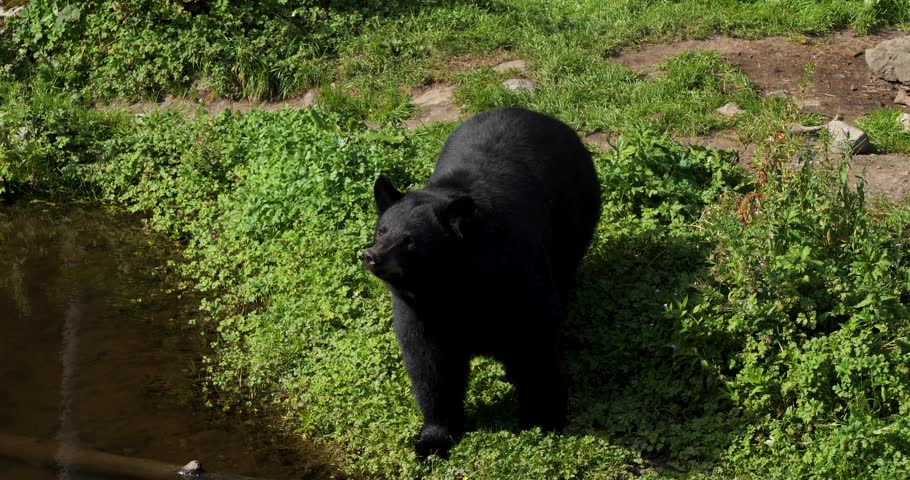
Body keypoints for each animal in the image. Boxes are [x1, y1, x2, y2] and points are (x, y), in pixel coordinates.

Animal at [362, 107, 602, 460]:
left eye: (409, 241)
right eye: (382, 230)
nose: (372, 256)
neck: (450, 287)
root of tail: (542, 116)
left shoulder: (513, 283)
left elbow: (534, 346)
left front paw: (544, 417)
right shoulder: (420, 315)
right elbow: (431, 369)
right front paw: (433, 440)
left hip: (573, 216)